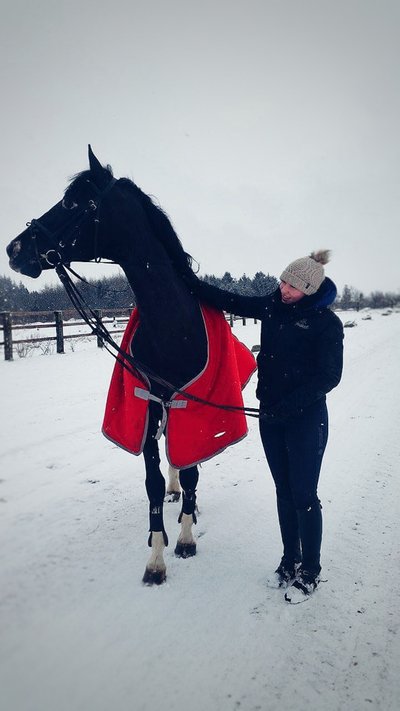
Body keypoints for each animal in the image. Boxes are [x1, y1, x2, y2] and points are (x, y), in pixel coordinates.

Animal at [7, 147, 253, 588]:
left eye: (72, 202)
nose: (15, 249)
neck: (172, 328)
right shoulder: (150, 405)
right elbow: (154, 483)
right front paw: (156, 558)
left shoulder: (195, 407)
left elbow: (192, 469)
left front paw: (185, 538)